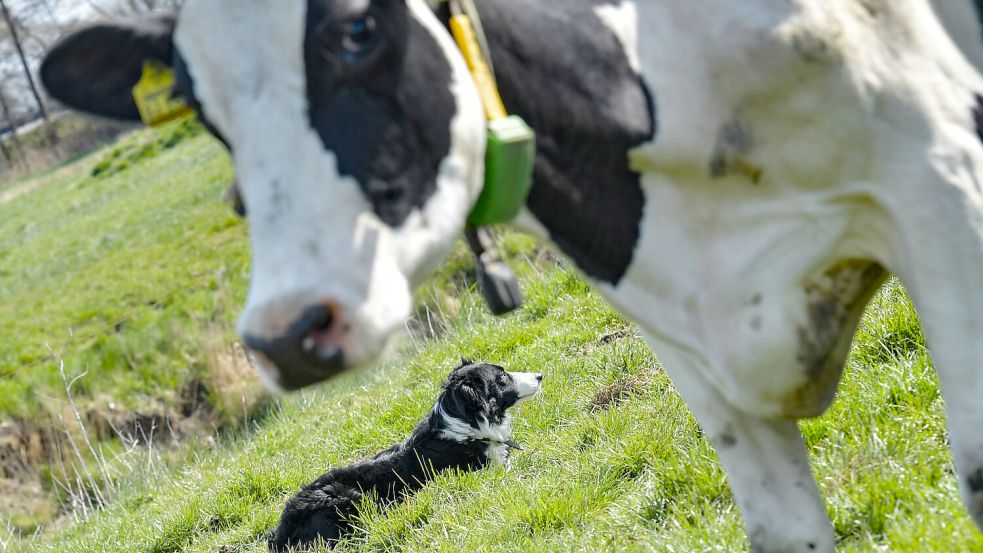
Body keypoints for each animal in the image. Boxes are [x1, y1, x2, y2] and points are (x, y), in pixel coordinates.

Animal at [270, 360, 540, 548]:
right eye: (502, 376)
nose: (540, 375)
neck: (467, 428)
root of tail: (282, 529)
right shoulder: (483, 472)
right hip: (349, 498)